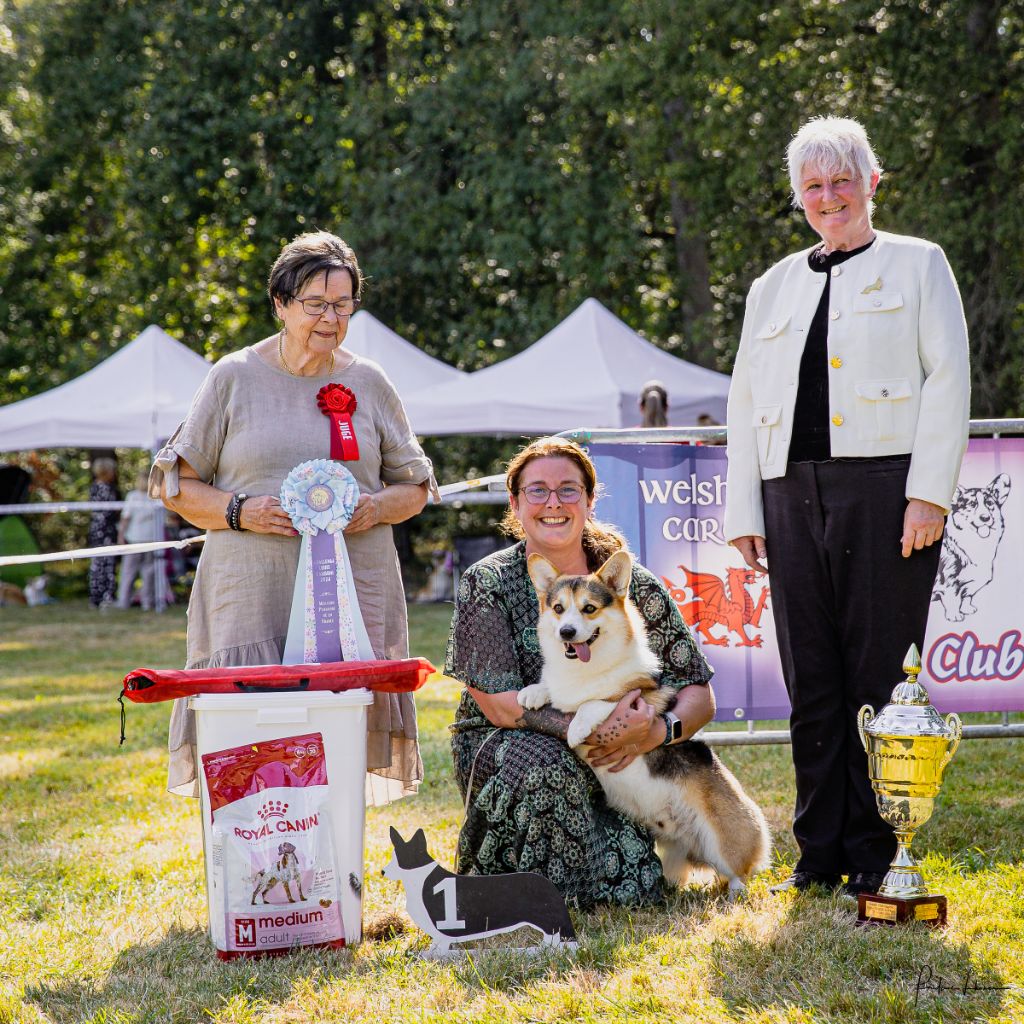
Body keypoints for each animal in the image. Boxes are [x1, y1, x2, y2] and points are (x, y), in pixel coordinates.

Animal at [520, 552, 770, 897]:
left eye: (589, 608)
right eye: (558, 608)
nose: (567, 633)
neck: (586, 669)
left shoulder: (642, 700)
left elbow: (595, 702)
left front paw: (576, 727)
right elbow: (553, 691)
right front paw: (532, 692)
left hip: (724, 841)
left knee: (740, 872)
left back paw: (735, 894)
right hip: (673, 853)